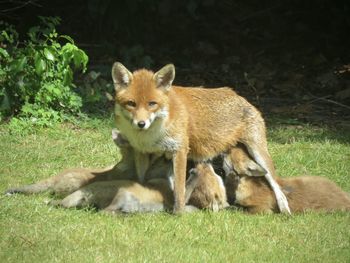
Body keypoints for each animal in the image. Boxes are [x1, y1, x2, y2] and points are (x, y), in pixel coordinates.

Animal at [111, 63, 290, 214]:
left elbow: (180, 189)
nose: (141, 124)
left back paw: (284, 208)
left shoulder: (180, 150)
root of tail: (237, 94)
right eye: (131, 103)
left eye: (152, 104)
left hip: (259, 154)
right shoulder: (141, 151)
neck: (150, 136)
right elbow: (141, 178)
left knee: (275, 183)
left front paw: (178, 213)